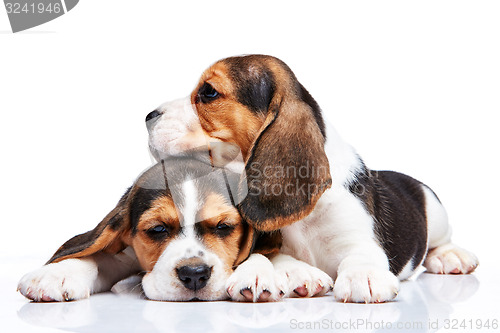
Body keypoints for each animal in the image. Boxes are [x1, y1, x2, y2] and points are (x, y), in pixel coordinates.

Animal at [17, 152, 334, 300]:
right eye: (157, 229)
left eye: (223, 227)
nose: (194, 275)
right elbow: (96, 255)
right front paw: (57, 274)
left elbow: (260, 249)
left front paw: (257, 273)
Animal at [146, 53, 480, 300]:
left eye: (209, 92)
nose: (148, 116)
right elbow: (273, 256)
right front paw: (293, 272)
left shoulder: (359, 237)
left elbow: (361, 254)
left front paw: (363, 276)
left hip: (435, 210)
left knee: (440, 241)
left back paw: (451, 257)